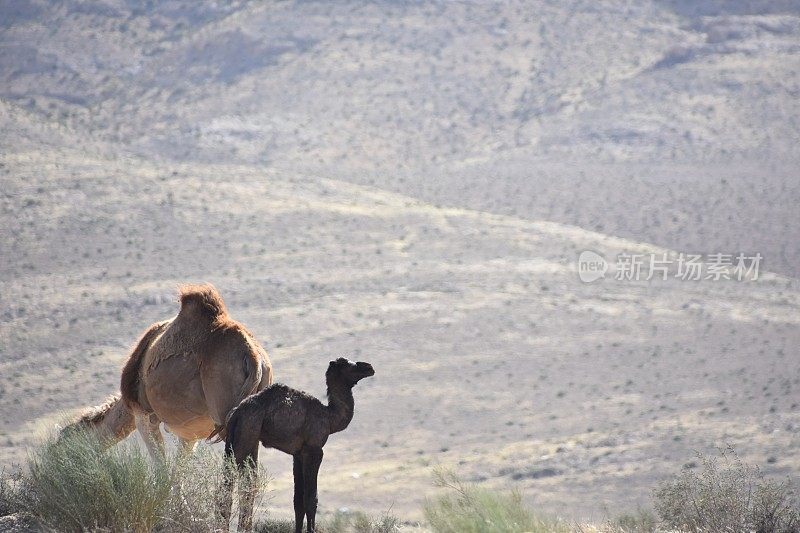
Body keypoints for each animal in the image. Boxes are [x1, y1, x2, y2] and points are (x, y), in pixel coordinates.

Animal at [214, 358, 374, 532]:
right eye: (349, 365)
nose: (369, 368)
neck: (329, 417)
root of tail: (235, 413)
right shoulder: (314, 450)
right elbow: (311, 498)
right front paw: (311, 530)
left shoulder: (298, 454)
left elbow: (298, 501)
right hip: (247, 433)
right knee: (232, 481)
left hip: (234, 439)